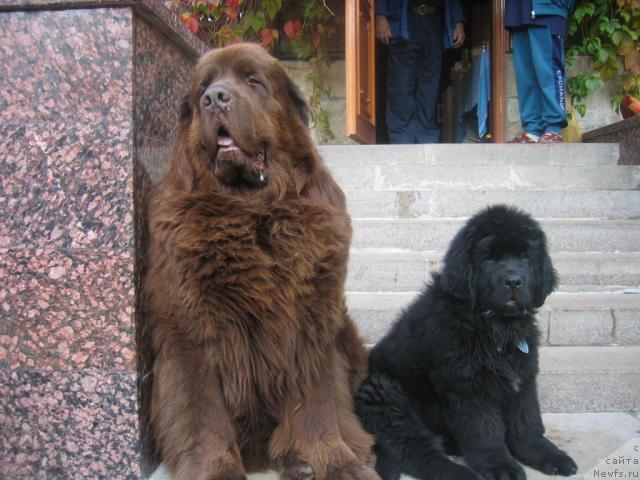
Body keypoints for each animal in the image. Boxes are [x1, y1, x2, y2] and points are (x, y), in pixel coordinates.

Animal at [143, 43, 378, 480]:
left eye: (253, 81)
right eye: (203, 88)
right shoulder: (195, 330)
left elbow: (318, 406)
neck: (252, 209)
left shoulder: (312, 322)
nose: (215, 98)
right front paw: (217, 469)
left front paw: (335, 462)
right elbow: (206, 415)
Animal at [358, 206, 576, 480]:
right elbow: (485, 432)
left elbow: (527, 422)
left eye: (525, 257)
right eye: (489, 259)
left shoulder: (523, 376)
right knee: (419, 452)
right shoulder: (469, 385)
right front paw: (501, 466)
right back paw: (460, 472)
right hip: (389, 400)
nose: (514, 281)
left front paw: (549, 455)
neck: (496, 326)